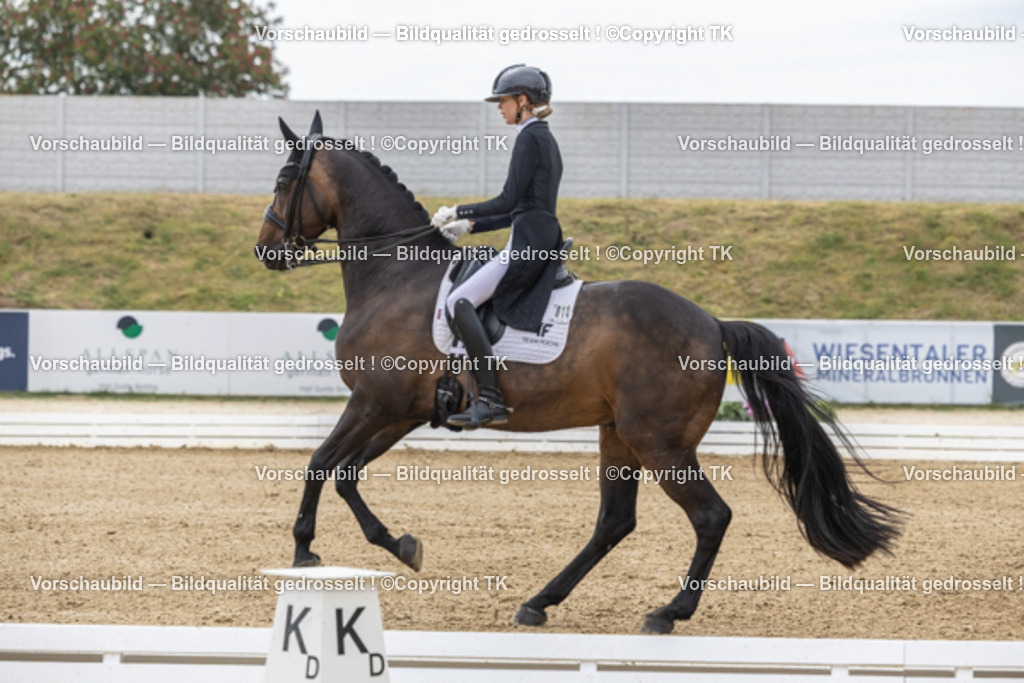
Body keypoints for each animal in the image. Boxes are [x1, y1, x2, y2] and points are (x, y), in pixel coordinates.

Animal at [254, 112, 902, 634]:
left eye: (284, 182)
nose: (266, 252)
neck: (395, 276)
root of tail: (712, 324)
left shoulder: (374, 402)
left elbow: (319, 463)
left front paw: (305, 552)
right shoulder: (403, 411)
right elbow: (345, 474)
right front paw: (401, 546)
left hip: (658, 441)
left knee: (710, 516)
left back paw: (668, 613)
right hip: (619, 433)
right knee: (615, 521)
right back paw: (540, 601)